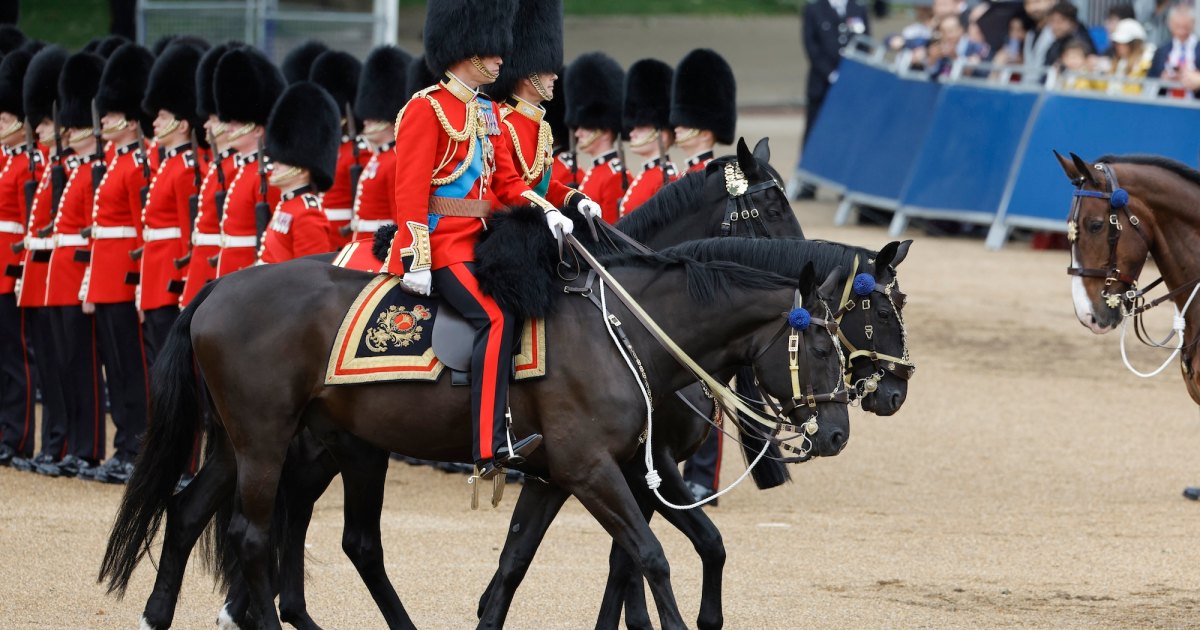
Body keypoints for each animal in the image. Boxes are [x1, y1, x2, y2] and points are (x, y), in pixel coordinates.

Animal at [103, 234, 854, 624]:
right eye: (823, 346)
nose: (838, 435)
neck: (623, 333)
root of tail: (220, 286)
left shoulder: (564, 475)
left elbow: (515, 565)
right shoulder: (592, 470)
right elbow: (650, 556)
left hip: (250, 440)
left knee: (190, 511)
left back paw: (158, 613)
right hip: (270, 439)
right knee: (255, 535)